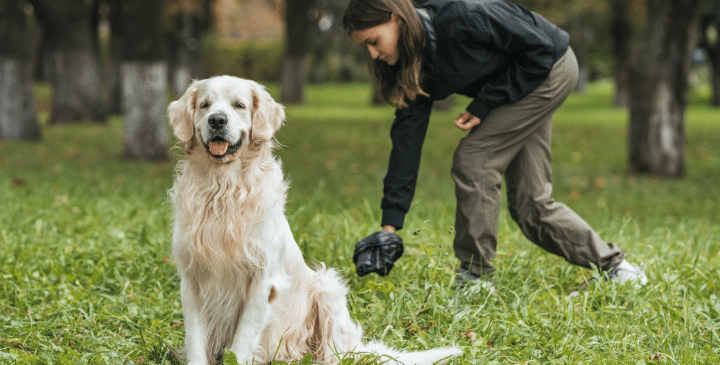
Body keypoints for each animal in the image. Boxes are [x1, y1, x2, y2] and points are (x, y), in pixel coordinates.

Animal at [167, 75, 462, 362]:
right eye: (205, 105)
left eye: (238, 105)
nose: (217, 120)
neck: (222, 191)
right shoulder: (191, 280)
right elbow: (195, 343)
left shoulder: (262, 281)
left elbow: (241, 344)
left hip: (327, 287)